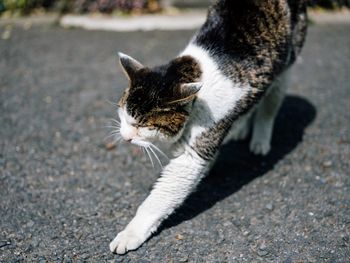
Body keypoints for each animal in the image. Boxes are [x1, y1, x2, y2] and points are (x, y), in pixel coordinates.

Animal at [108, 0, 306, 256]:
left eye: (143, 125)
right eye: (123, 114)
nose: (125, 136)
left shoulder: (193, 154)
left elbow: (160, 197)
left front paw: (130, 234)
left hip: (286, 65)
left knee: (270, 102)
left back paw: (260, 140)